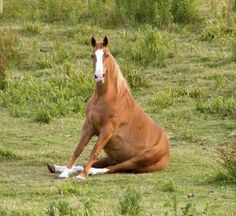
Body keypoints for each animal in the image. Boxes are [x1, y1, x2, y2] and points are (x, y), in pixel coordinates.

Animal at [47, 36, 170, 179]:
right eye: (92, 55)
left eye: (106, 55)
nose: (99, 76)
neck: (105, 98)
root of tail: (167, 150)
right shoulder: (89, 126)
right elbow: (78, 149)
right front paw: (65, 172)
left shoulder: (107, 130)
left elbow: (94, 152)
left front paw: (82, 176)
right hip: (113, 156)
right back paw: (56, 167)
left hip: (139, 159)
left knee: (116, 167)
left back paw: (90, 171)